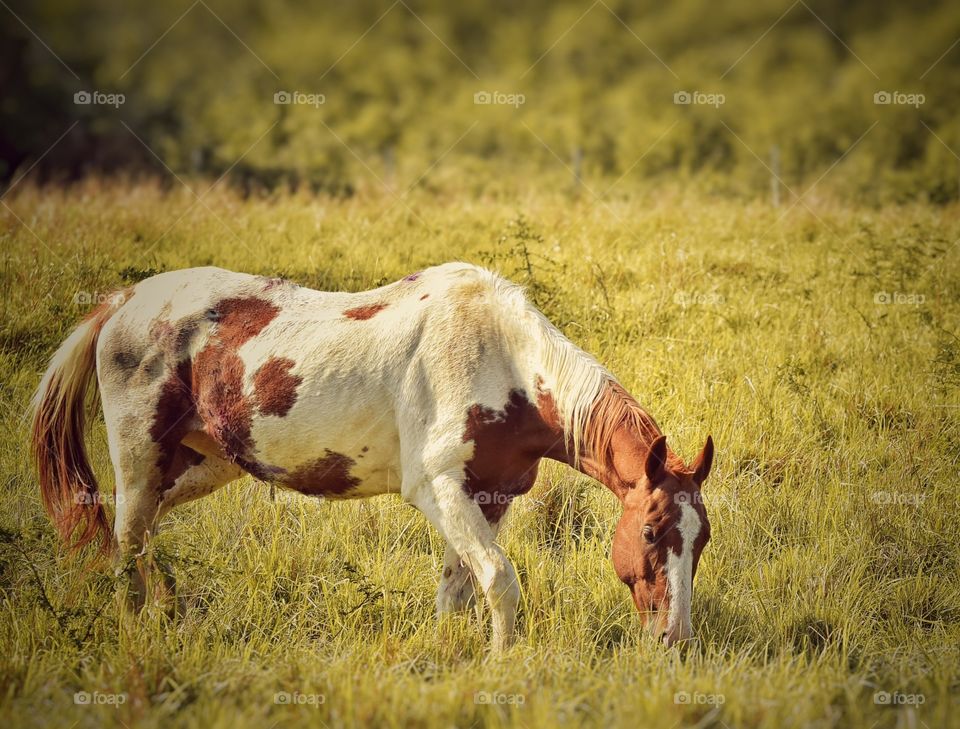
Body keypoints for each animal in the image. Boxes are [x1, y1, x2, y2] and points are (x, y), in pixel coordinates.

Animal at [30, 262, 713, 650]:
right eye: (650, 532)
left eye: (701, 540)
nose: (675, 637)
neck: (505, 360)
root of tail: (123, 302)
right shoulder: (439, 489)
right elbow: (500, 581)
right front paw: (502, 665)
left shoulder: (489, 498)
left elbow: (458, 588)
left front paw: (447, 657)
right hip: (141, 455)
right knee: (127, 538)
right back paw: (134, 628)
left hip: (204, 462)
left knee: (139, 532)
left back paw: (165, 614)